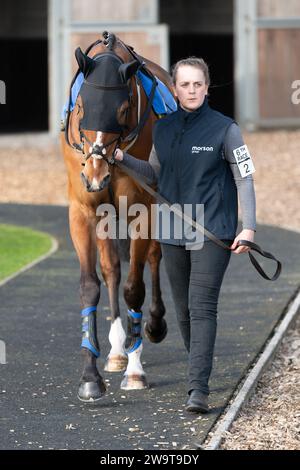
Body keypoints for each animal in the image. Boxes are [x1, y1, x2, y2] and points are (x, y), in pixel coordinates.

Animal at [61, 31, 173, 402]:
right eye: (81, 106)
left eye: (123, 109)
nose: (96, 174)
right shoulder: (84, 210)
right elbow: (90, 285)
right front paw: (90, 377)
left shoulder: (143, 208)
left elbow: (134, 288)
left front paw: (136, 372)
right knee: (111, 268)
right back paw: (116, 351)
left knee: (153, 256)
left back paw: (152, 326)